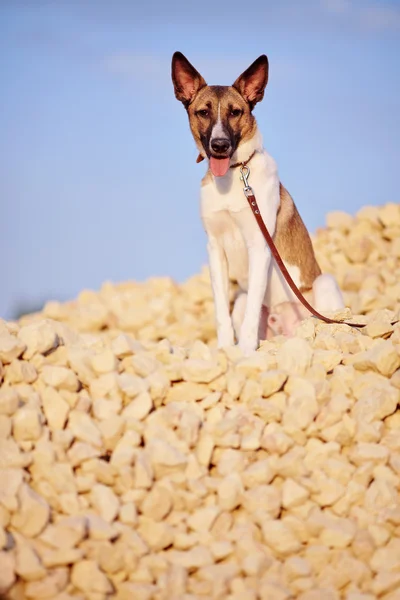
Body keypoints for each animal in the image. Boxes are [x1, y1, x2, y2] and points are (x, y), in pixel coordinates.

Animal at [171, 51, 344, 354]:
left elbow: (253, 308)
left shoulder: (259, 246)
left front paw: (245, 351)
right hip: (239, 300)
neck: (234, 174)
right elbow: (221, 312)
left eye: (235, 112)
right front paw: (225, 350)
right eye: (203, 112)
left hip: (324, 283)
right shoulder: (215, 250)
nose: (219, 146)